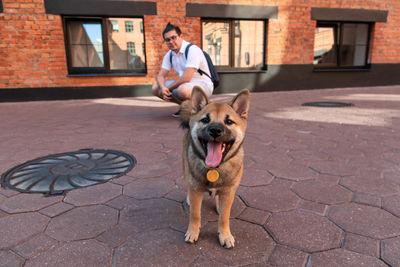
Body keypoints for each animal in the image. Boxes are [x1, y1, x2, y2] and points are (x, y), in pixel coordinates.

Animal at [179, 86, 248, 249]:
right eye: (205, 120)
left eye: (229, 121)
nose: (215, 130)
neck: (214, 169)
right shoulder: (196, 190)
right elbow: (195, 214)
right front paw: (193, 232)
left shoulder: (229, 192)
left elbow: (224, 216)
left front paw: (225, 235)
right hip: (185, 170)